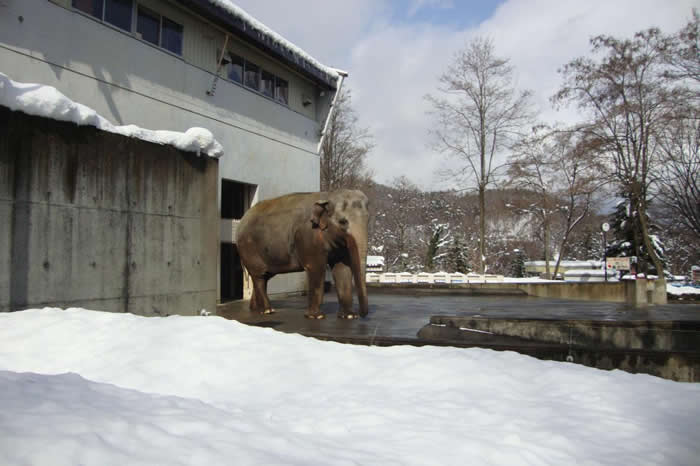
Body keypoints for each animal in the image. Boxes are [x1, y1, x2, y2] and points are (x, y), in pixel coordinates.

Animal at [236, 189, 369, 319]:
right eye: (343, 222)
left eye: (368, 219)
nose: (362, 315)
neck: (328, 195)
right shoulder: (308, 236)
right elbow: (316, 267)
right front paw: (316, 317)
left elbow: (342, 268)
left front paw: (349, 316)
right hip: (249, 249)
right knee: (259, 276)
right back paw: (267, 311)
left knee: (265, 276)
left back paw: (255, 309)